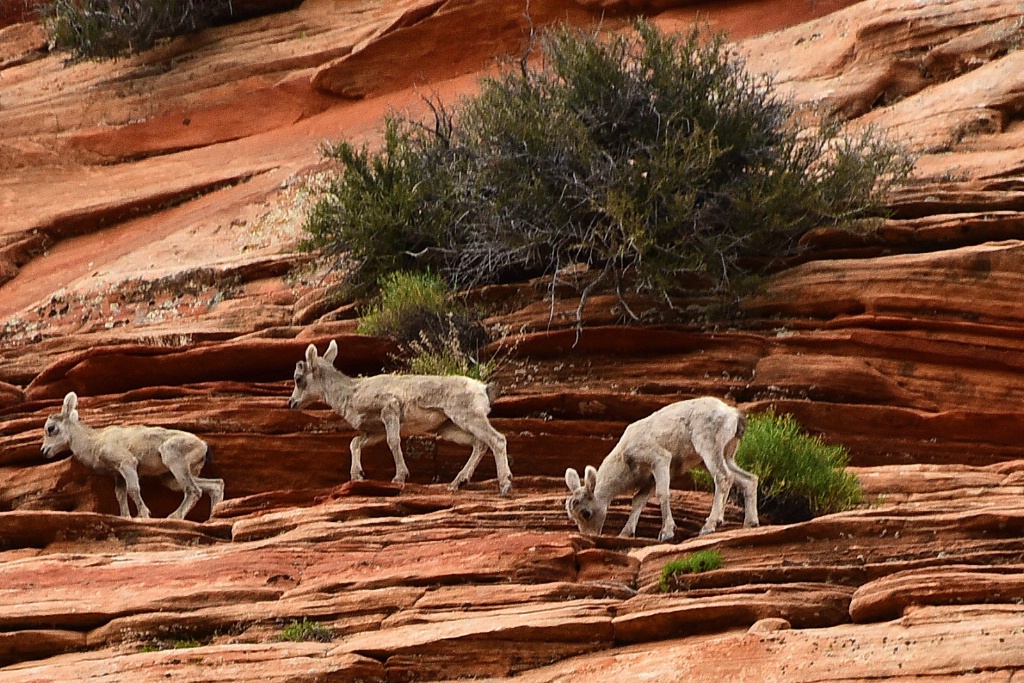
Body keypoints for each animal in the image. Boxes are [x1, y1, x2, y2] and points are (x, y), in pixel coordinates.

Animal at [41, 389, 224, 518]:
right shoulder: (118, 474)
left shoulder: (127, 463)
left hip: (174, 460)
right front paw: (126, 516)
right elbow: (120, 495)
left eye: (51, 428)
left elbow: (133, 489)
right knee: (215, 485)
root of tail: (203, 445)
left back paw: (174, 517)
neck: (94, 442)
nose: (44, 451)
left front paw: (143, 515)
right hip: (171, 478)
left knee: (194, 490)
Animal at [286, 339, 512, 493]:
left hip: (467, 417)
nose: (291, 403)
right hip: (449, 428)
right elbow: (355, 443)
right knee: (480, 444)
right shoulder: (374, 431)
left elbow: (393, 442)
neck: (351, 393)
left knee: (497, 439)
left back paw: (504, 484)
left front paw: (399, 477)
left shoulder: (390, 410)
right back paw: (458, 483)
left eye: (298, 379)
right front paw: (357, 475)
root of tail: (482, 388)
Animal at [565, 397, 757, 540]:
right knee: (749, 479)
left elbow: (662, 494)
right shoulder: (650, 479)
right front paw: (626, 533)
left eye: (586, 513)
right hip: (725, 456)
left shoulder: (660, 460)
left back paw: (709, 526)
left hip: (709, 449)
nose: (589, 535)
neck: (626, 457)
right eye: (572, 517)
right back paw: (750, 523)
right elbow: (638, 501)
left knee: (723, 477)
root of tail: (732, 414)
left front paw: (666, 533)